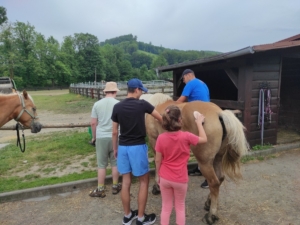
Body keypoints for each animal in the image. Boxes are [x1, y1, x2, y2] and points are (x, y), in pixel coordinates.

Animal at [143, 92, 248, 225]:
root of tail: (219, 113)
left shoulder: (154, 141)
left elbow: (158, 166)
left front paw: (157, 186)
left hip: (205, 163)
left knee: (214, 182)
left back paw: (211, 215)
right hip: (217, 158)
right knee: (219, 178)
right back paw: (208, 203)